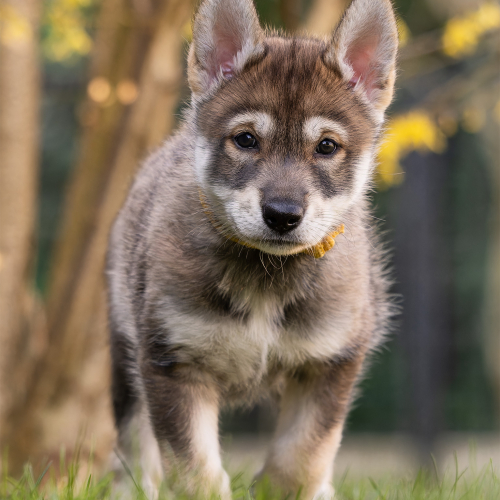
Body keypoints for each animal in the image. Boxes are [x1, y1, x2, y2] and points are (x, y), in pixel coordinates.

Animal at [106, 0, 398, 496]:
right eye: (245, 139)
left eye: (326, 146)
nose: (282, 215)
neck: (267, 275)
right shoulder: (172, 362)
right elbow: (194, 469)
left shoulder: (330, 362)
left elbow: (302, 457)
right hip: (125, 358)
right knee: (132, 452)